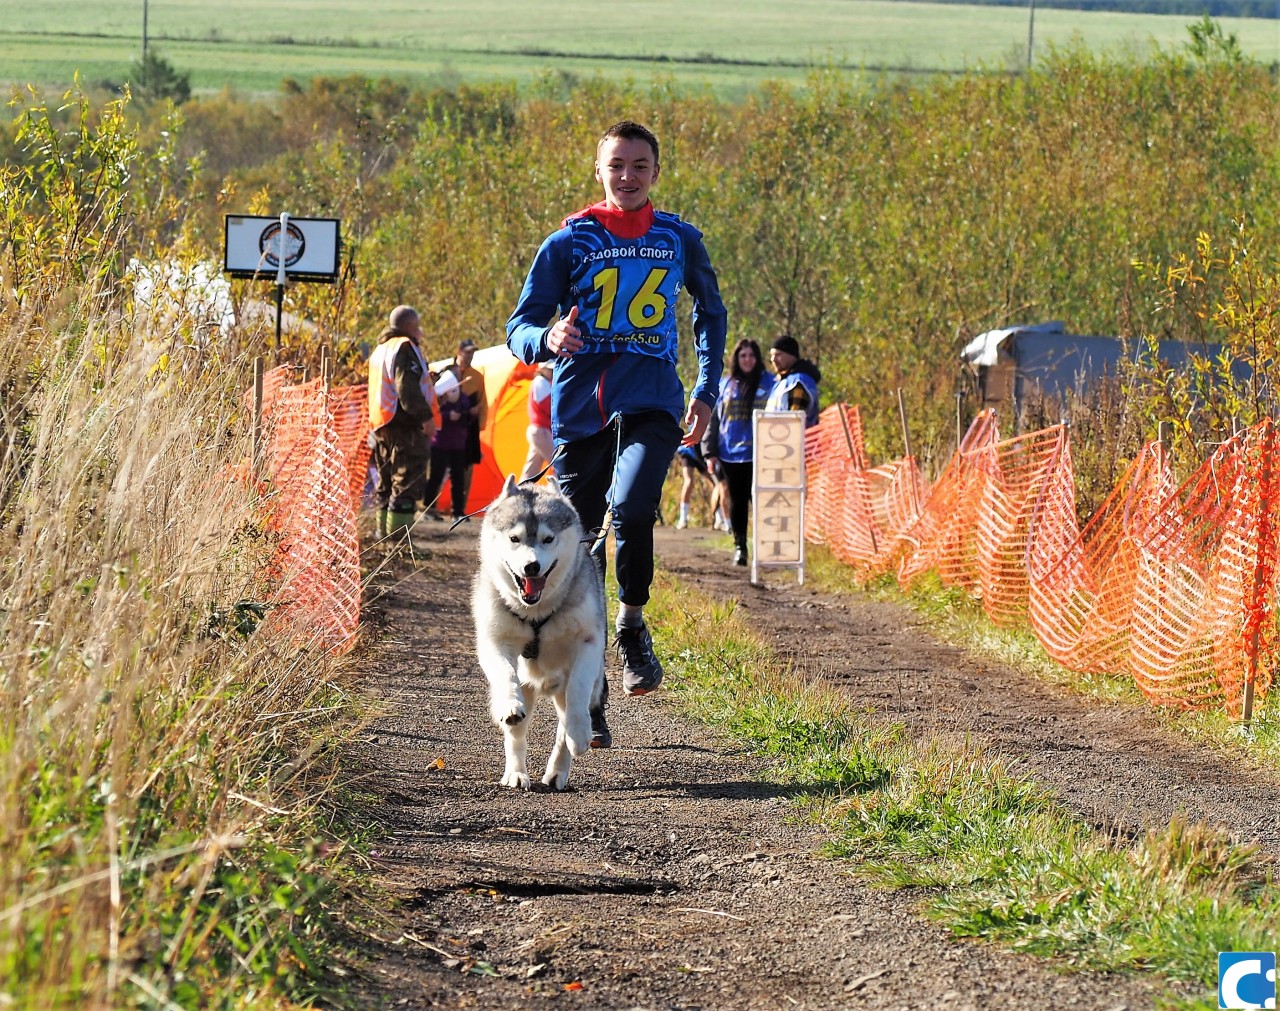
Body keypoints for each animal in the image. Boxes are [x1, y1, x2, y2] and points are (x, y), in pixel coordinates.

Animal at [473, 476, 606, 793]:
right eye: (514, 539)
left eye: (548, 539)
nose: (531, 566)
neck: (536, 612)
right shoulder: (494, 641)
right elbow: (504, 673)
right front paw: (510, 703)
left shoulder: (589, 641)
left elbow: (578, 688)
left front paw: (579, 731)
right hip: (527, 692)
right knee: (516, 735)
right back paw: (516, 773)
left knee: (563, 726)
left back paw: (559, 769)